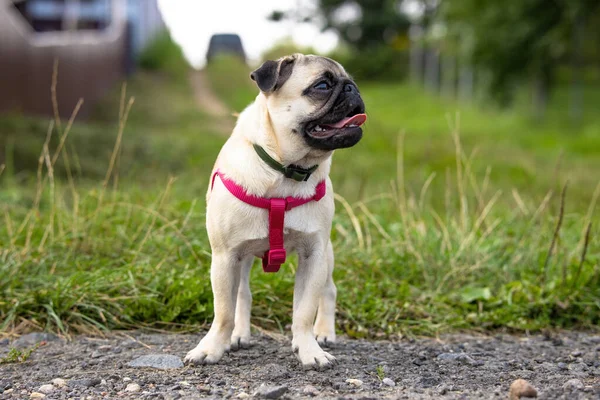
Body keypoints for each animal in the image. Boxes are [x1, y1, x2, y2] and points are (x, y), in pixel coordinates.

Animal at [185, 53, 368, 368]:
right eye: (322, 86)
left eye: (351, 82)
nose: (351, 89)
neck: (285, 172)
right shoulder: (224, 257)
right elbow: (223, 312)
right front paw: (211, 348)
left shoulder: (314, 255)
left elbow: (304, 311)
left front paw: (308, 349)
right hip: (241, 258)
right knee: (242, 294)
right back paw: (239, 335)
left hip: (327, 254)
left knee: (327, 291)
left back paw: (324, 332)